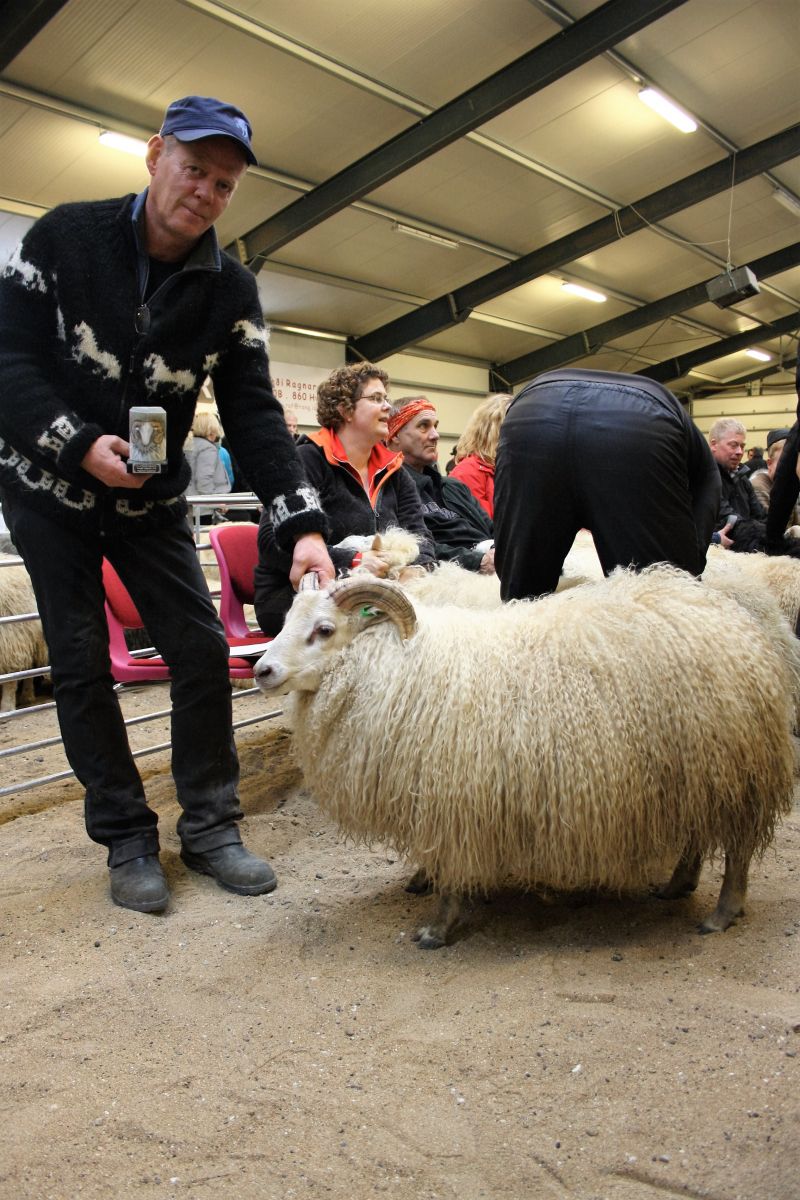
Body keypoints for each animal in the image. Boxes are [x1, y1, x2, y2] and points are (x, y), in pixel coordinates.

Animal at [254, 565, 797, 949]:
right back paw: (678, 883)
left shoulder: (454, 801)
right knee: (697, 835)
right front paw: (422, 882)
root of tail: (735, 619)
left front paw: (437, 929)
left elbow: (450, 873)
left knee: (738, 851)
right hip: (699, 770)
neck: (399, 663)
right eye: (286, 621)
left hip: (735, 767)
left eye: (324, 629)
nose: (261, 670)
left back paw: (721, 913)